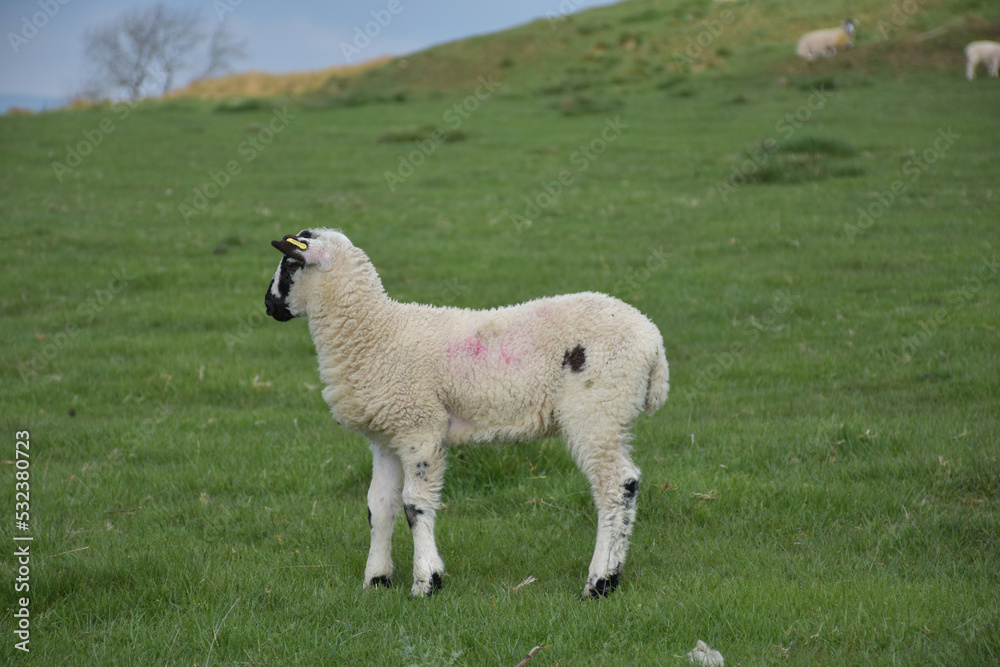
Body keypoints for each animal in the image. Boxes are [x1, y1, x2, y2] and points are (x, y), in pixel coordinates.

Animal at [265, 228, 670, 598]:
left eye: (290, 264)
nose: (268, 305)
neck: (376, 332)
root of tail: (653, 341)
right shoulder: (386, 437)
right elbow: (378, 507)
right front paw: (375, 580)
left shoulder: (420, 426)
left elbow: (414, 506)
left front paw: (426, 582)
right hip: (608, 414)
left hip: (596, 411)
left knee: (617, 486)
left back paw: (600, 582)